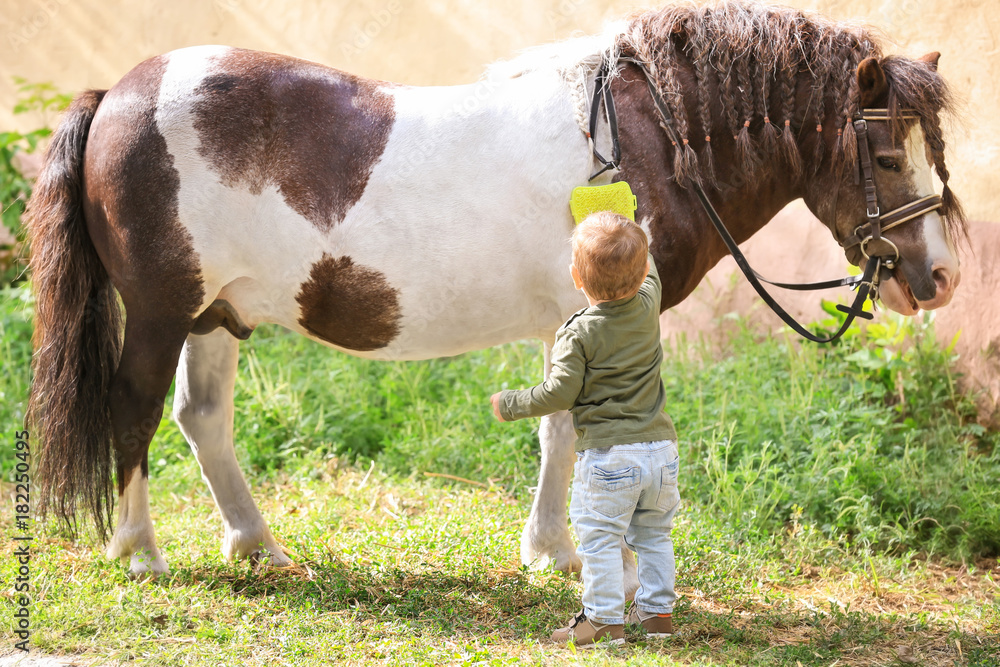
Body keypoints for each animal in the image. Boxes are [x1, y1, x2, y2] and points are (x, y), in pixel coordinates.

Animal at [27, 1, 965, 582]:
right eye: (888, 155)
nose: (941, 277)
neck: (649, 140)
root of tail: (119, 93)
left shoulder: (572, 322)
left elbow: (559, 431)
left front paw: (554, 550)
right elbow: (592, 436)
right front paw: (596, 558)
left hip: (217, 313)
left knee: (203, 418)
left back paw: (256, 544)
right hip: (161, 310)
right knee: (135, 408)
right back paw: (138, 549)